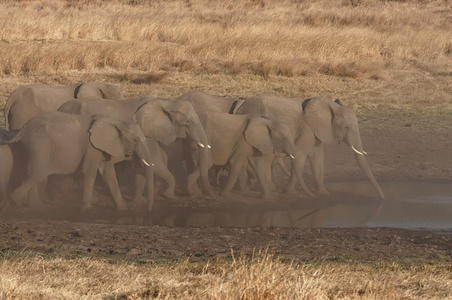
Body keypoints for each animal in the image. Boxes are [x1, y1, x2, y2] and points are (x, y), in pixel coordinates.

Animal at [6, 111, 154, 212]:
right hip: (38, 144)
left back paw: (37, 206)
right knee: (39, 173)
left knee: (35, 174)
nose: (148, 211)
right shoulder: (91, 147)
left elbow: (108, 174)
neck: (116, 121)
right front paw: (88, 208)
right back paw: (17, 202)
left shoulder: (101, 148)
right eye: (135, 140)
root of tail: (23, 129)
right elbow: (88, 171)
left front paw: (123, 209)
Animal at [57, 97, 216, 203]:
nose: (213, 197)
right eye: (187, 122)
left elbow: (144, 164)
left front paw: (139, 200)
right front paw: (169, 195)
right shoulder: (144, 132)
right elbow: (155, 162)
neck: (165, 102)